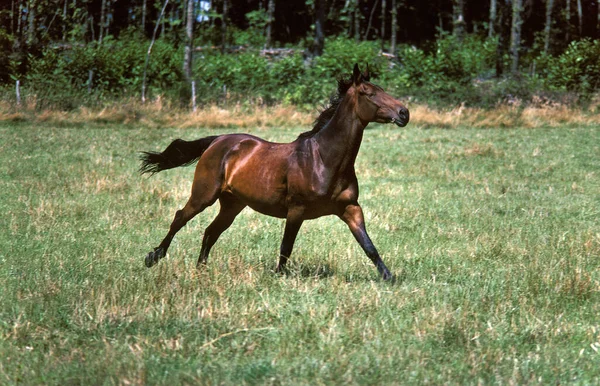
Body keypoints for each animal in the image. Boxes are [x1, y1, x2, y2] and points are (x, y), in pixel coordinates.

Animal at [140, 63, 410, 280]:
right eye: (369, 93)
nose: (404, 113)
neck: (323, 159)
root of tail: (218, 141)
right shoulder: (296, 210)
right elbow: (286, 247)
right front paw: (278, 276)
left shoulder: (351, 208)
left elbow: (369, 246)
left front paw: (389, 277)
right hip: (203, 195)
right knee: (180, 218)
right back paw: (153, 257)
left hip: (232, 204)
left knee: (210, 232)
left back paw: (201, 270)